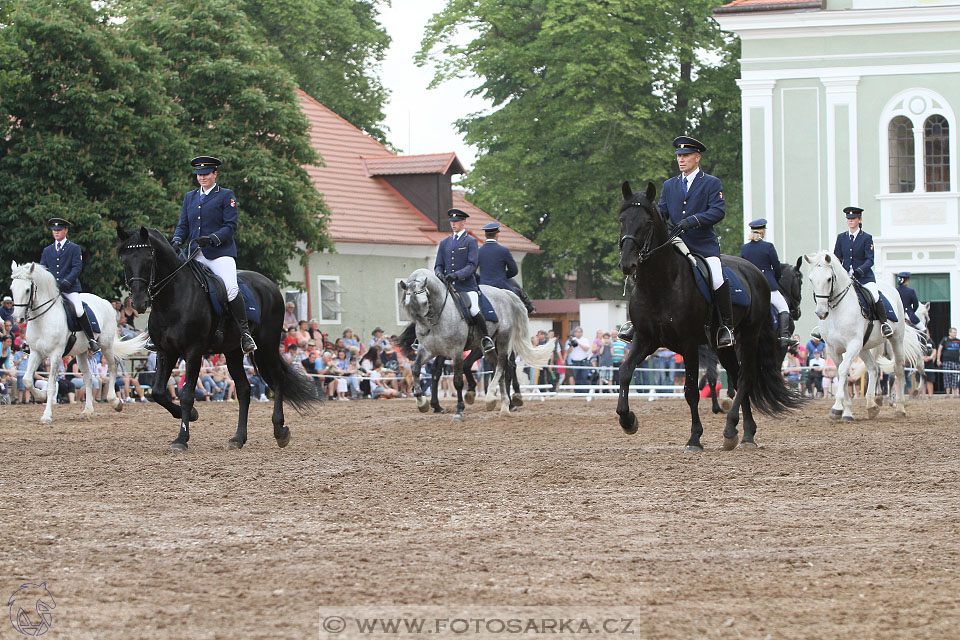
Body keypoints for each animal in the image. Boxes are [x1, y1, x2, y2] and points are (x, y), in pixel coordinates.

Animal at [8, 258, 148, 422]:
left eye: (27, 290)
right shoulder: (36, 352)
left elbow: (51, 385)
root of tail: (106, 302)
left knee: (113, 367)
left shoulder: (55, 354)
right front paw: (40, 396)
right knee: (88, 379)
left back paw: (115, 402)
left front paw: (47, 415)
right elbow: (27, 380)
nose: (18, 318)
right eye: (12, 288)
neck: (43, 319)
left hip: (105, 345)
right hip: (81, 353)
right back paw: (87, 410)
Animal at [117, 228, 320, 452]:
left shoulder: (193, 352)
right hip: (233, 352)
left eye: (148, 258)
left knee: (277, 379)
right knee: (244, 390)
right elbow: (158, 392)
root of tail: (269, 285)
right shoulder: (165, 352)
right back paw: (238, 438)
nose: (138, 302)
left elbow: (186, 395)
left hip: (267, 345)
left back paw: (280, 431)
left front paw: (181, 438)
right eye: (125, 260)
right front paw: (190, 415)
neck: (172, 299)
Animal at [400, 266, 556, 420]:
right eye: (407, 304)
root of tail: (504, 294)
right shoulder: (428, 350)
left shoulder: (458, 350)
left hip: (500, 340)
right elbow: (416, 369)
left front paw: (463, 403)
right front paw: (422, 401)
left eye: (424, 302)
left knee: (500, 365)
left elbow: (460, 378)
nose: (423, 329)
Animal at [616, 180, 804, 450]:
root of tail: (755, 273)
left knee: (745, 379)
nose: (627, 264)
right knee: (736, 377)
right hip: (722, 346)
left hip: (748, 336)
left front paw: (694, 438)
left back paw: (732, 428)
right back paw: (744, 432)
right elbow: (624, 372)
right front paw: (628, 420)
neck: (660, 283)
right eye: (622, 219)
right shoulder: (645, 339)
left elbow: (691, 391)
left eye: (648, 222)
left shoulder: (688, 344)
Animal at [808, 252, 928, 422]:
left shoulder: (853, 344)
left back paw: (899, 407)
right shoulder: (833, 349)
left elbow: (843, 370)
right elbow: (842, 373)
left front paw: (837, 408)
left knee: (898, 370)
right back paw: (872, 405)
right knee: (874, 368)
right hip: (864, 347)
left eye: (829, 279)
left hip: (895, 340)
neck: (838, 310)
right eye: (811, 279)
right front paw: (847, 412)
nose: (821, 313)